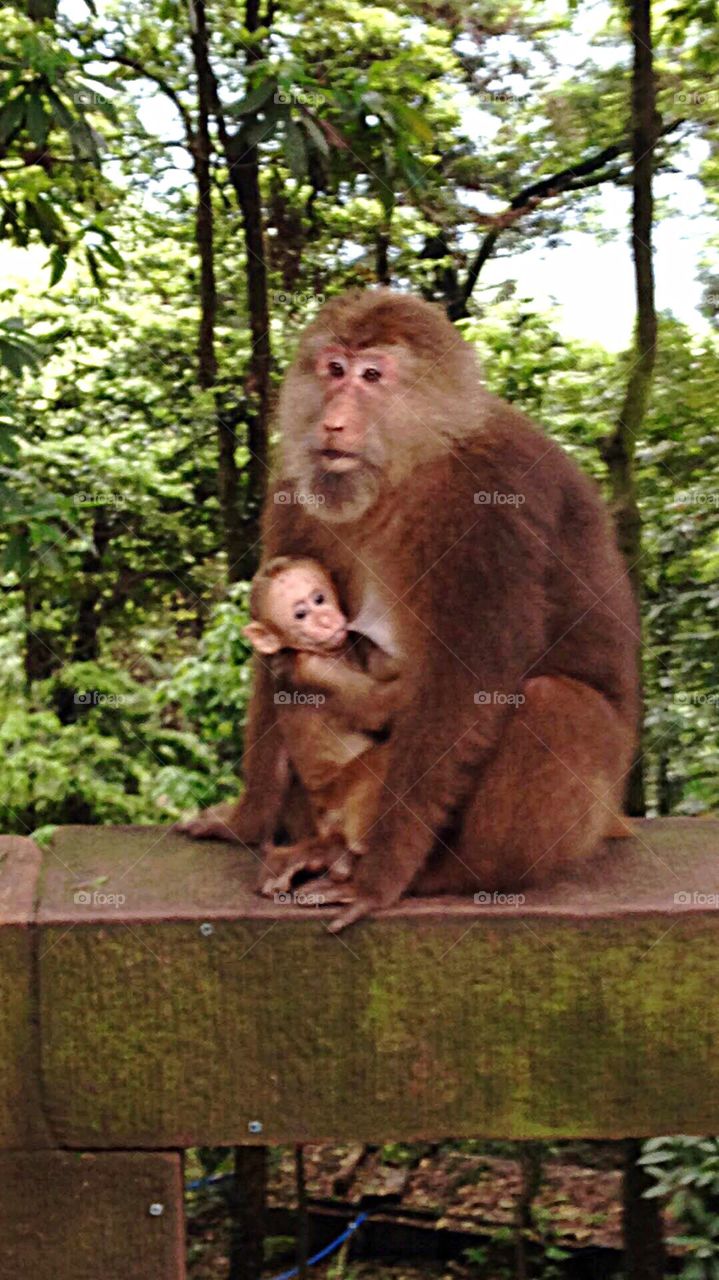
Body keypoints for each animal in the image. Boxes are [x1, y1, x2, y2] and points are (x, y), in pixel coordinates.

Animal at [241, 555, 400, 895]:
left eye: (319, 598)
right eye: (300, 614)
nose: (325, 618)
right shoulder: (318, 673)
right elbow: (382, 706)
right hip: (336, 800)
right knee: (380, 759)